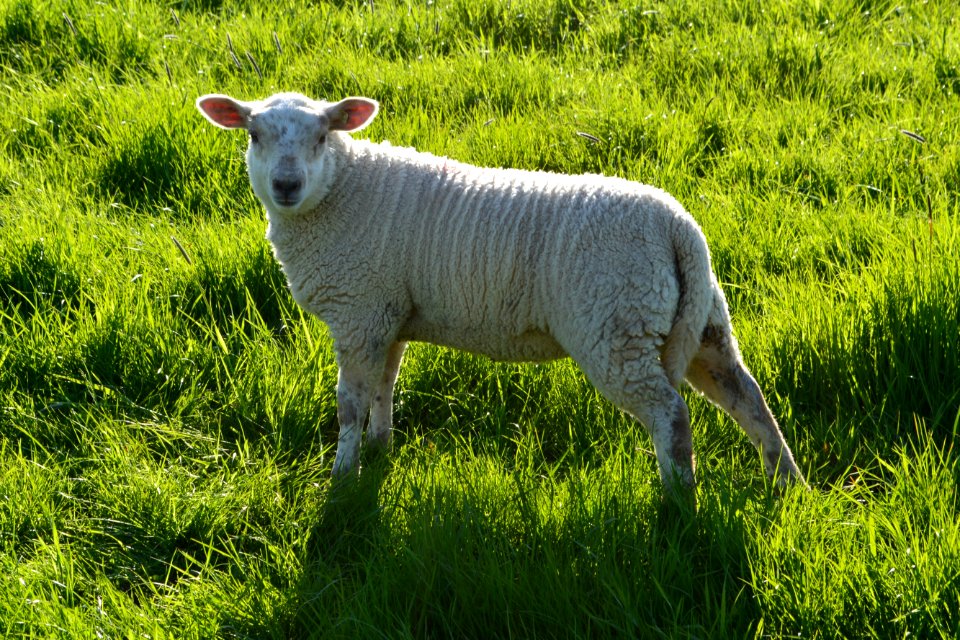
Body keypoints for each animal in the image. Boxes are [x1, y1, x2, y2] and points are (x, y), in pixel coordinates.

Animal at [193, 90, 804, 492]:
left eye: (323, 136)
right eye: (253, 135)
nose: (286, 185)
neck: (340, 193)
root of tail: (679, 228)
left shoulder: (357, 311)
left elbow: (349, 404)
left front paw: (343, 478)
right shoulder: (386, 313)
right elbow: (384, 388)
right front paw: (380, 448)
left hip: (615, 327)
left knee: (670, 415)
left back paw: (678, 502)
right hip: (697, 318)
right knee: (747, 397)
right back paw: (786, 485)